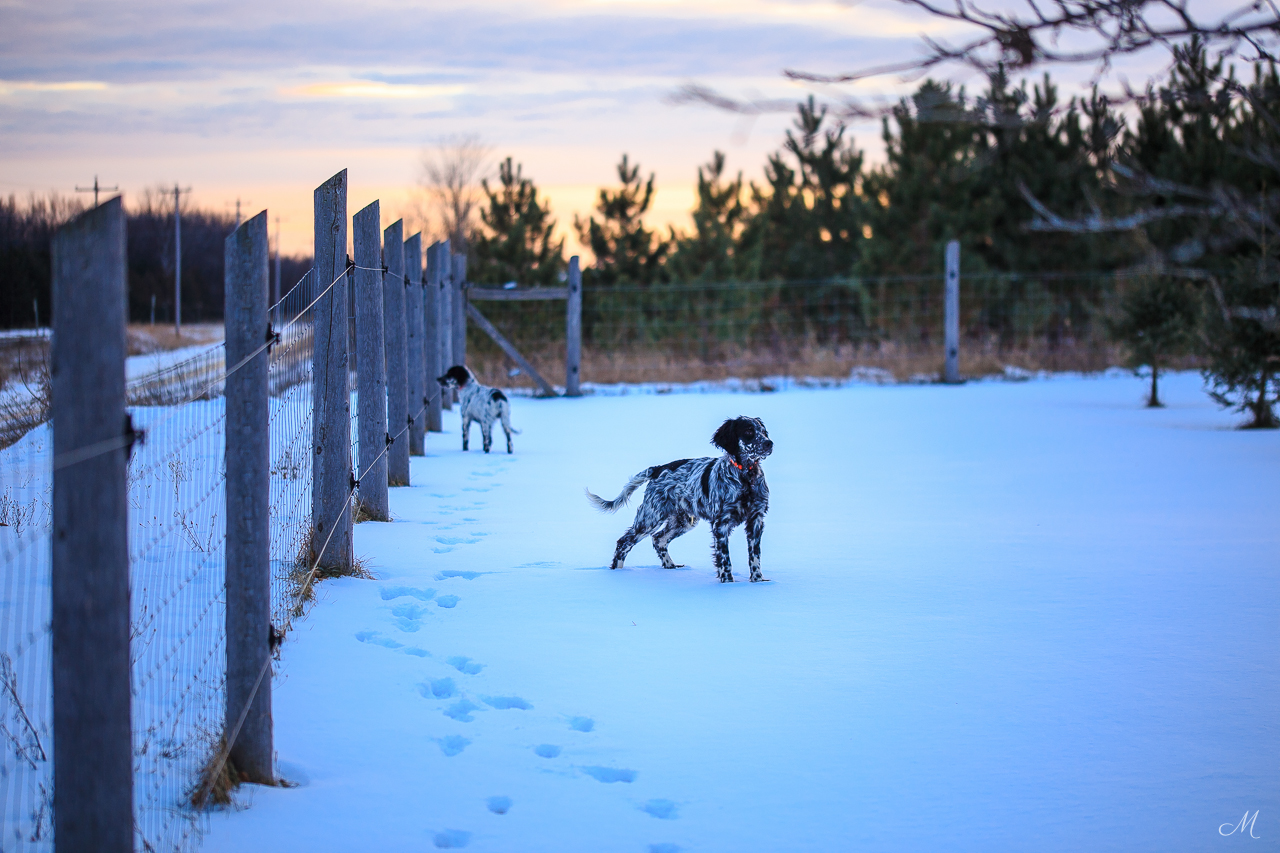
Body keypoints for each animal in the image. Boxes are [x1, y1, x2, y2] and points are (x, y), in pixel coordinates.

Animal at [586, 414, 773, 581]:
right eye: (748, 431)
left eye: (764, 431)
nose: (769, 443)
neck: (746, 476)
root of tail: (658, 468)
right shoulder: (721, 523)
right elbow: (724, 559)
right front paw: (728, 583)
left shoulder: (756, 519)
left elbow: (755, 556)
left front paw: (758, 581)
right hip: (650, 518)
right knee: (624, 541)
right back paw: (618, 573)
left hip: (683, 521)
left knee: (659, 539)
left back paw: (670, 567)